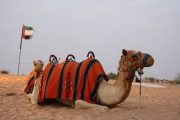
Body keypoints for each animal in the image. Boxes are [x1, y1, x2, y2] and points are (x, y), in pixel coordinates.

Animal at [25, 49, 154, 109]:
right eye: (134, 55)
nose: (151, 59)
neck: (101, 89)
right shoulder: (79, 100)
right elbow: (105, 108)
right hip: (39, 85)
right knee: (33, 99)